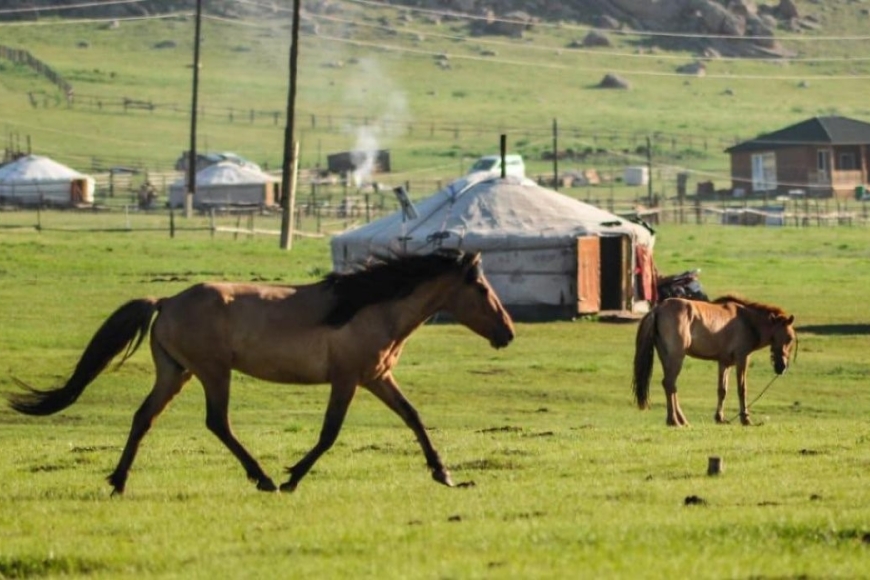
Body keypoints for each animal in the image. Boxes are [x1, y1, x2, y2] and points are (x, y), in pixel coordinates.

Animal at [6, 249, 516, 494]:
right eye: (482, 288)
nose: (507, 333)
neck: (370, 309)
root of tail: (167, 301)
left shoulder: (376, 378)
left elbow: (413, 417)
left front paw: (444, 474)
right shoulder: (348, 380)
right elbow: (329, 434)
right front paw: (291, 478)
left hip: (175, 373)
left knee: (143, 418)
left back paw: (118, 482)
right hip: (213, 372)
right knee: (217, 422)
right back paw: (263, 478)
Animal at [632, 294, 796, 426]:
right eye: (790, 338)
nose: (781, 367)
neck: (747, 321)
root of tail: (657, 309)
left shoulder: (724, 363)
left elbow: (722, 390)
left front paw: (720, 418)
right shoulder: (742, 359)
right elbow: (742, 389)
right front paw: (746, 419)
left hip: (666, 357)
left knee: (671, 386)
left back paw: (679, 420)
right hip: (676, 357)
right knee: (669, 384)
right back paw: (675, 421)